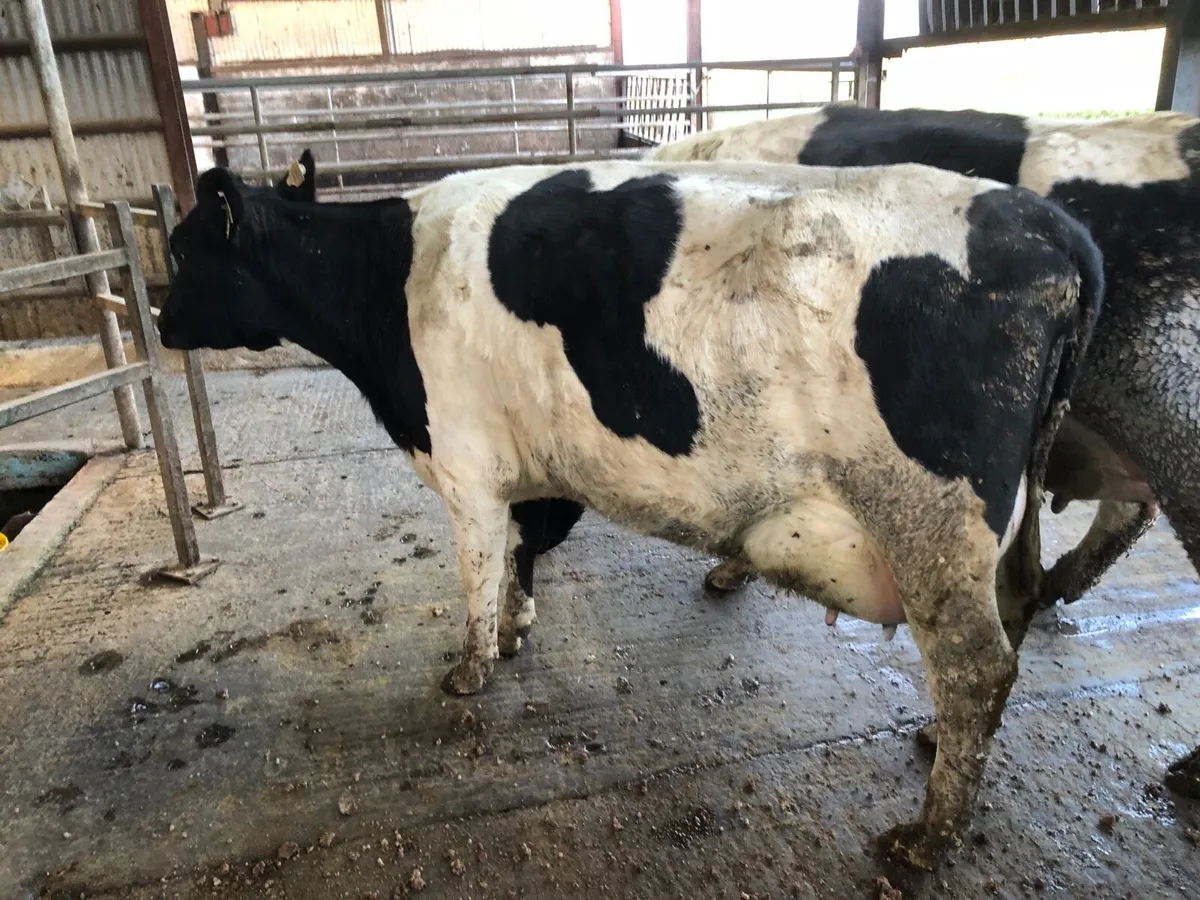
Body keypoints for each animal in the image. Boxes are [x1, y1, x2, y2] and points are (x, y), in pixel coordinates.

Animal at [157, 158, 1101, 868]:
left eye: (183, 248)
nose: (160, 322)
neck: (390, 279)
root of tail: (1049, 223)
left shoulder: (463, 463)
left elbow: (476, 568)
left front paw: (471, 668)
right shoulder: (527, 461)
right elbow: (524, 547)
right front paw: (518, 625)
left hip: (930, 521)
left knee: (977, 666)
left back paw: (927, 838)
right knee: (1016, 608)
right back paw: (936, 750)